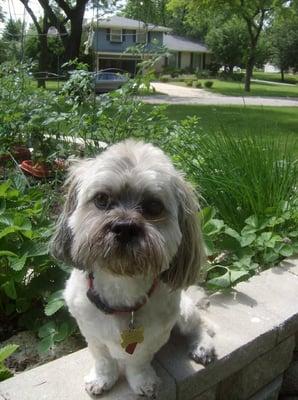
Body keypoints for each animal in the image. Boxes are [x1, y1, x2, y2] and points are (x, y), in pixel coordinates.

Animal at [50, 140, 214, 396]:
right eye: (102, 199)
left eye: (154, 206)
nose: (125, 226)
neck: (121, 286)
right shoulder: (90, 331)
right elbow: (103, 359)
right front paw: (101, 379)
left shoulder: (153, 337)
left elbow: (138, 361)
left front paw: (143, 381)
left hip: (184, 312)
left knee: (200, 324)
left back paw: (202, 345)